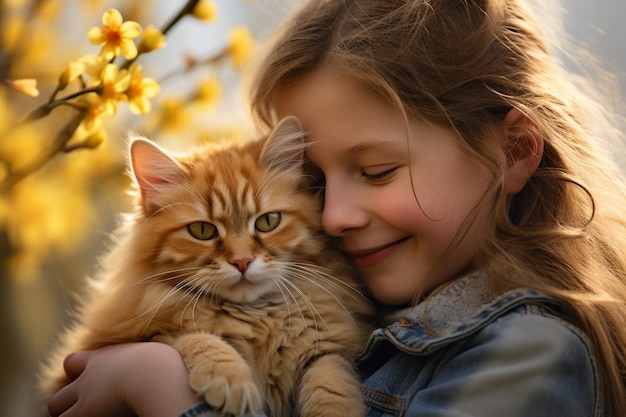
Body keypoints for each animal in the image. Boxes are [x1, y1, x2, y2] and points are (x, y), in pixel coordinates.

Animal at [40, 116, 370, 416]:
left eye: (268, 222)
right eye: (202, 231)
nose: (242, 261)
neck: (258, 319)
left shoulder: (330, 347)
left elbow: (329, 381)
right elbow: (187, 336)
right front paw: (230, 379)